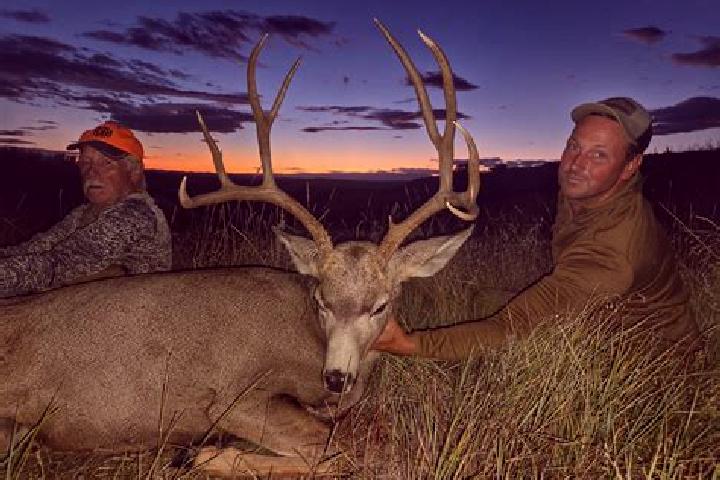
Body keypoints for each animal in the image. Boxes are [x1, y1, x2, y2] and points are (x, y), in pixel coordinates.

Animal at [0, 19, 480, 476]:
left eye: (380, 305)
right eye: (321, 300)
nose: (336, 378)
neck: (308, 340)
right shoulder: (235, 397)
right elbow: (338, 454)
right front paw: (204, 456)